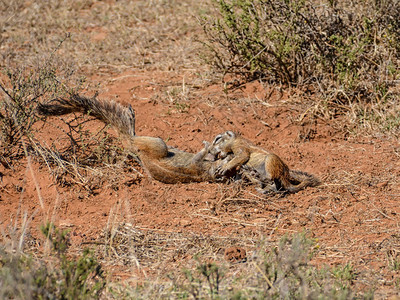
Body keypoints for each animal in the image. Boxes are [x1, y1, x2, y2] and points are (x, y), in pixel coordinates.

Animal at [37, 94, 231, 183]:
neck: (208, 173)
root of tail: (138, 152)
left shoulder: (197, 167)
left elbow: (198, 158)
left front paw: (207, 146)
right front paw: (210, 146)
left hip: (155, 143)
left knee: (130, 137)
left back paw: (130, 118)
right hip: (160, 144)